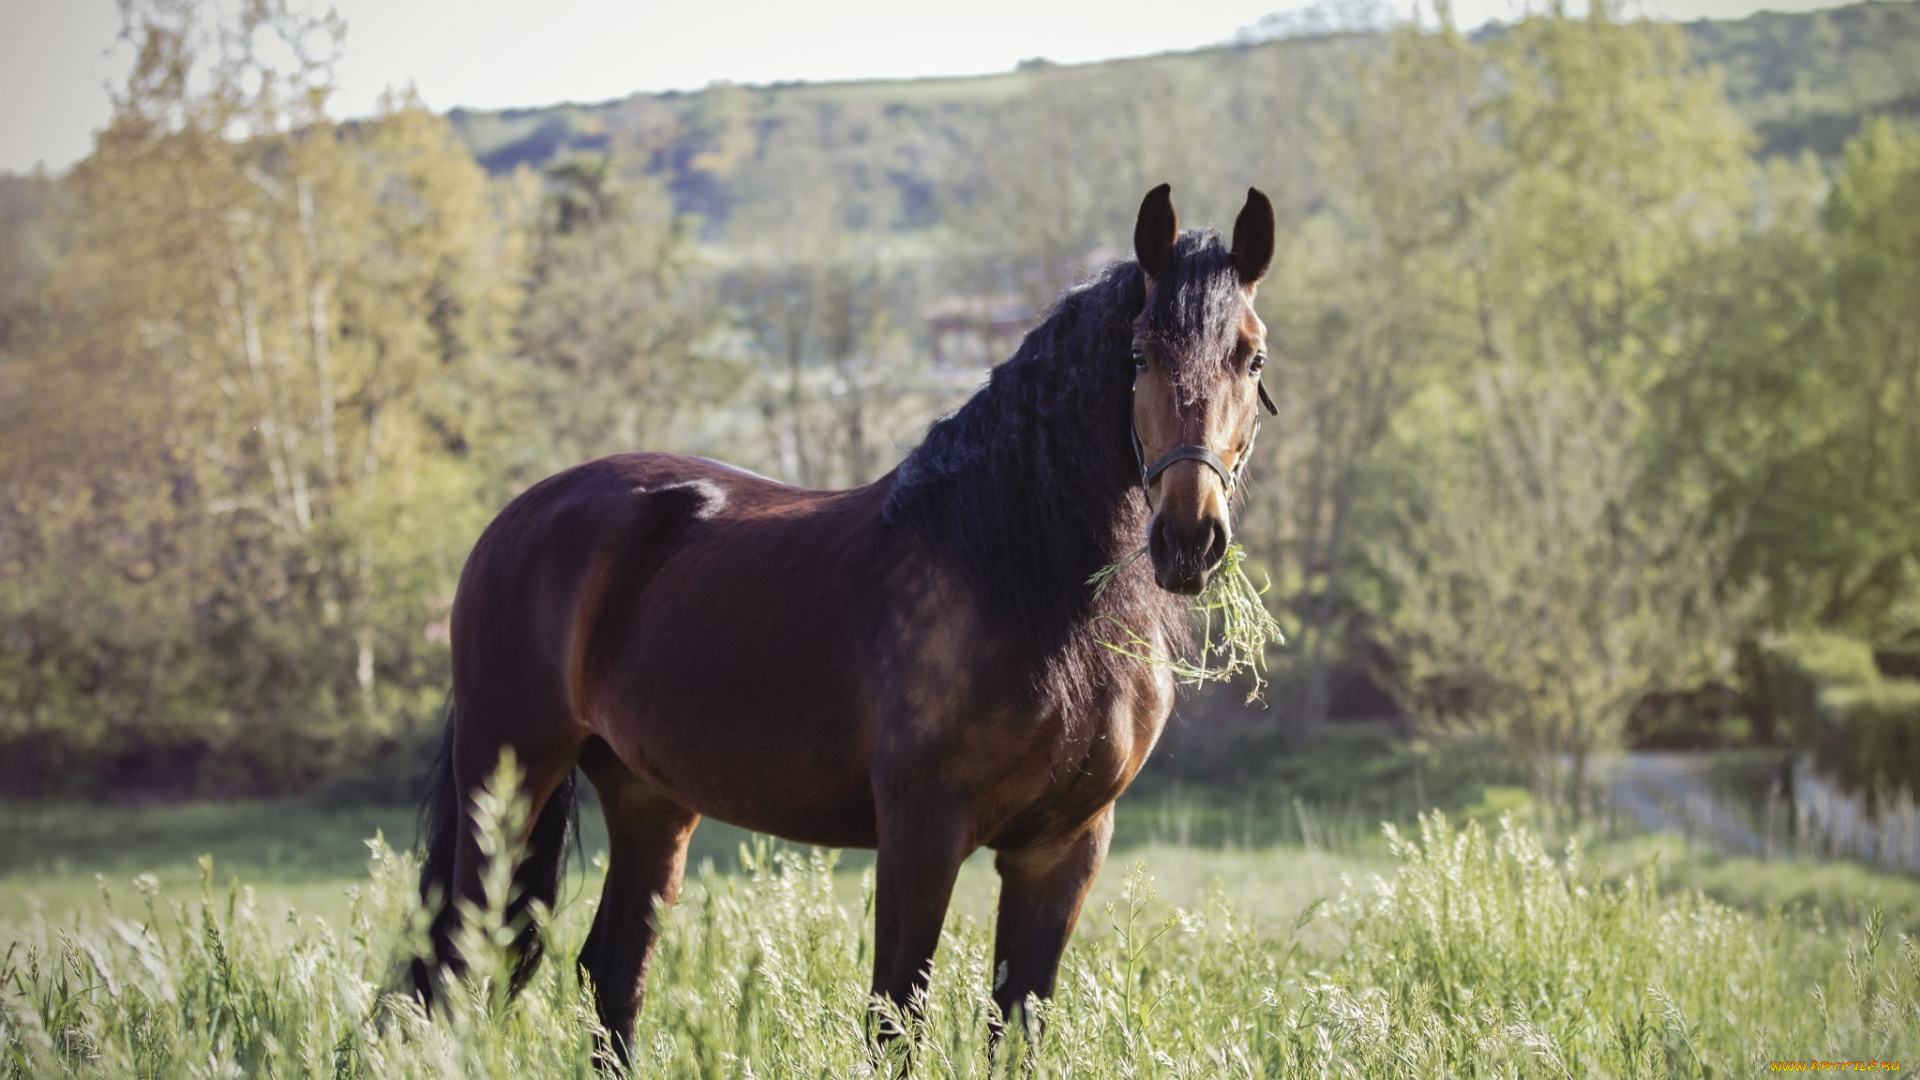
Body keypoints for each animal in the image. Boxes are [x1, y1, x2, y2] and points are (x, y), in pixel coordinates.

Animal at [414, 182, 1282, 1053]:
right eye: (1140, 355)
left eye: (1253, 357)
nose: (1189, 538)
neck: (1014, 577)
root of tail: (515, 520)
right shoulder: (920, 832)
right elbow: (895, 1015)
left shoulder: (1063, 847)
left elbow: (1017, 1021)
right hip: (507, 780)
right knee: (457, 961)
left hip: (647, 798)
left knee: (612, 974)